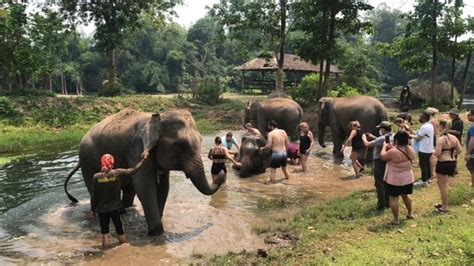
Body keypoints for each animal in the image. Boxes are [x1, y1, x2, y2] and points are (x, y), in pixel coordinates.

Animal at [64, 108, 225, 235]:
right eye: (181, 145)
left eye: (201, 140)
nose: (221, 173)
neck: (156, 118)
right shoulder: (136, 150)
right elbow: (145, 188)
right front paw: (157, 234)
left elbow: (163, 188)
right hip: (87, 161)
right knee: (95, 190)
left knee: (129, 190)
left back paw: (125, 211)